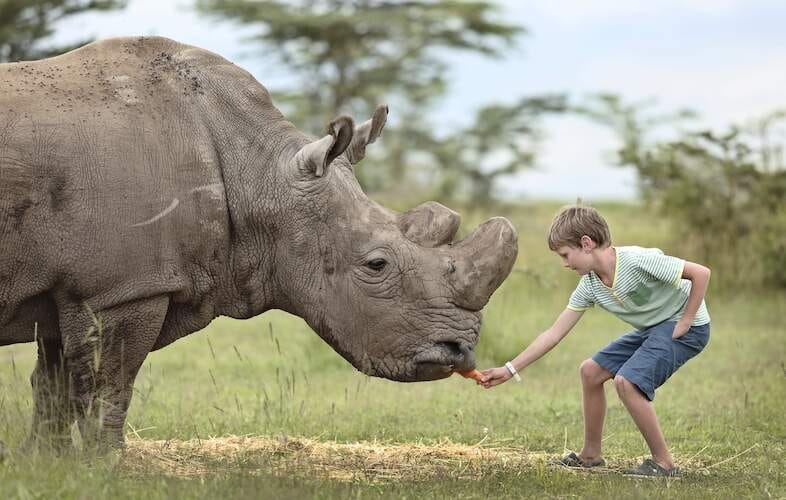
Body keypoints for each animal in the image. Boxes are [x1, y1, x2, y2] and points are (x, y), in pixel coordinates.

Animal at [0, 36, 518, 448]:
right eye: (376, 265)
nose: (458, 351)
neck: (257, 171)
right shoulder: (122, 288)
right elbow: (108, 387)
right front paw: (104, 466)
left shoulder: (70, 288)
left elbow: (54, 388)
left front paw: (48, 465)